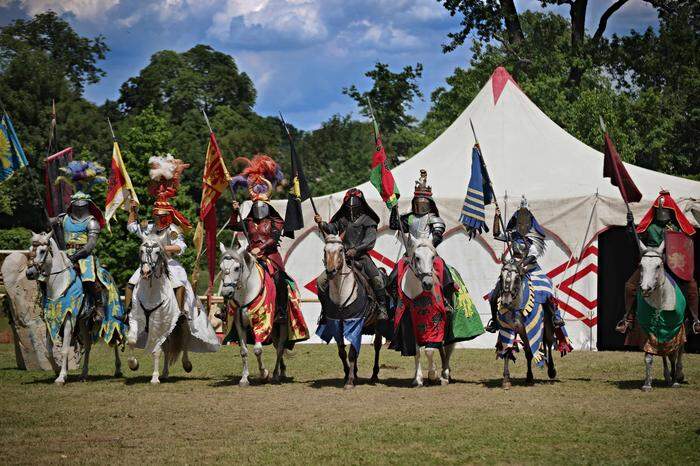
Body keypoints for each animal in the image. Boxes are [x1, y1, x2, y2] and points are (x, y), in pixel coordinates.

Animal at [25, 231, 121, 384]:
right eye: (29, 249)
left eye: (42, 251)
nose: (29, 273)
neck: (59, 285)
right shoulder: (50, 322)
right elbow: (48, 351)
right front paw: (56, 370)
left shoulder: (69, 319)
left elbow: (64, 349)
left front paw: (61, 376)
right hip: (83, 322)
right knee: (87, 344)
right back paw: (84, 373)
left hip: (111, 317)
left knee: (115, 339)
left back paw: (118, 369)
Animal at [126, 235, 190, 384]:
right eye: (142, 250)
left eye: (157, 252)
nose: (145, 272)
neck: (151, 292)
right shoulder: (135, 319)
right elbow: (131, 340)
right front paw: (133, 364)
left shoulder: (159, 324)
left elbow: (156, 350)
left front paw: (154, 377)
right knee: (167, 347)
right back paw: (165, 373)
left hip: (180, 322)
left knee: (184, 340)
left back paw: (186, 364)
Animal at [217, 242, 286, 388]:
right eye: (221, 268)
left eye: (237, 268)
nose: (226, 293)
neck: (246, 292)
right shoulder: (240, 325)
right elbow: (243, 351)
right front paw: (244, 378)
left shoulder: (262, 322)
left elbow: (258, 350)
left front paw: (264, 374)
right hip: (273, 331)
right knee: (278, 346)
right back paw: (282, 371)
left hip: (281, 326)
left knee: (280, 348)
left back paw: (276, 375)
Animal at [394, 237, 454, 386]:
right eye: (417, 257)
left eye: (433, 257)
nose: (428, 283)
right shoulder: (411, 325)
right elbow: (417, 351)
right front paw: (418, 378)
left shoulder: (435, 323)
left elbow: (429, 350)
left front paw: (433, 373)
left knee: (448, 347)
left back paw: (445, 374)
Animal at [640, 242, 684, 392]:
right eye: (640, 265)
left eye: (658, 266)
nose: (645, 289)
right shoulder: (650, 330)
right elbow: (649, 356)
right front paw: (647, 384)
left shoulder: (675, 328)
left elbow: (674, 353)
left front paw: (676, 381)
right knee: (665, 353)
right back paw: (668, 376)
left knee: (679, 351)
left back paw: (678, 375)